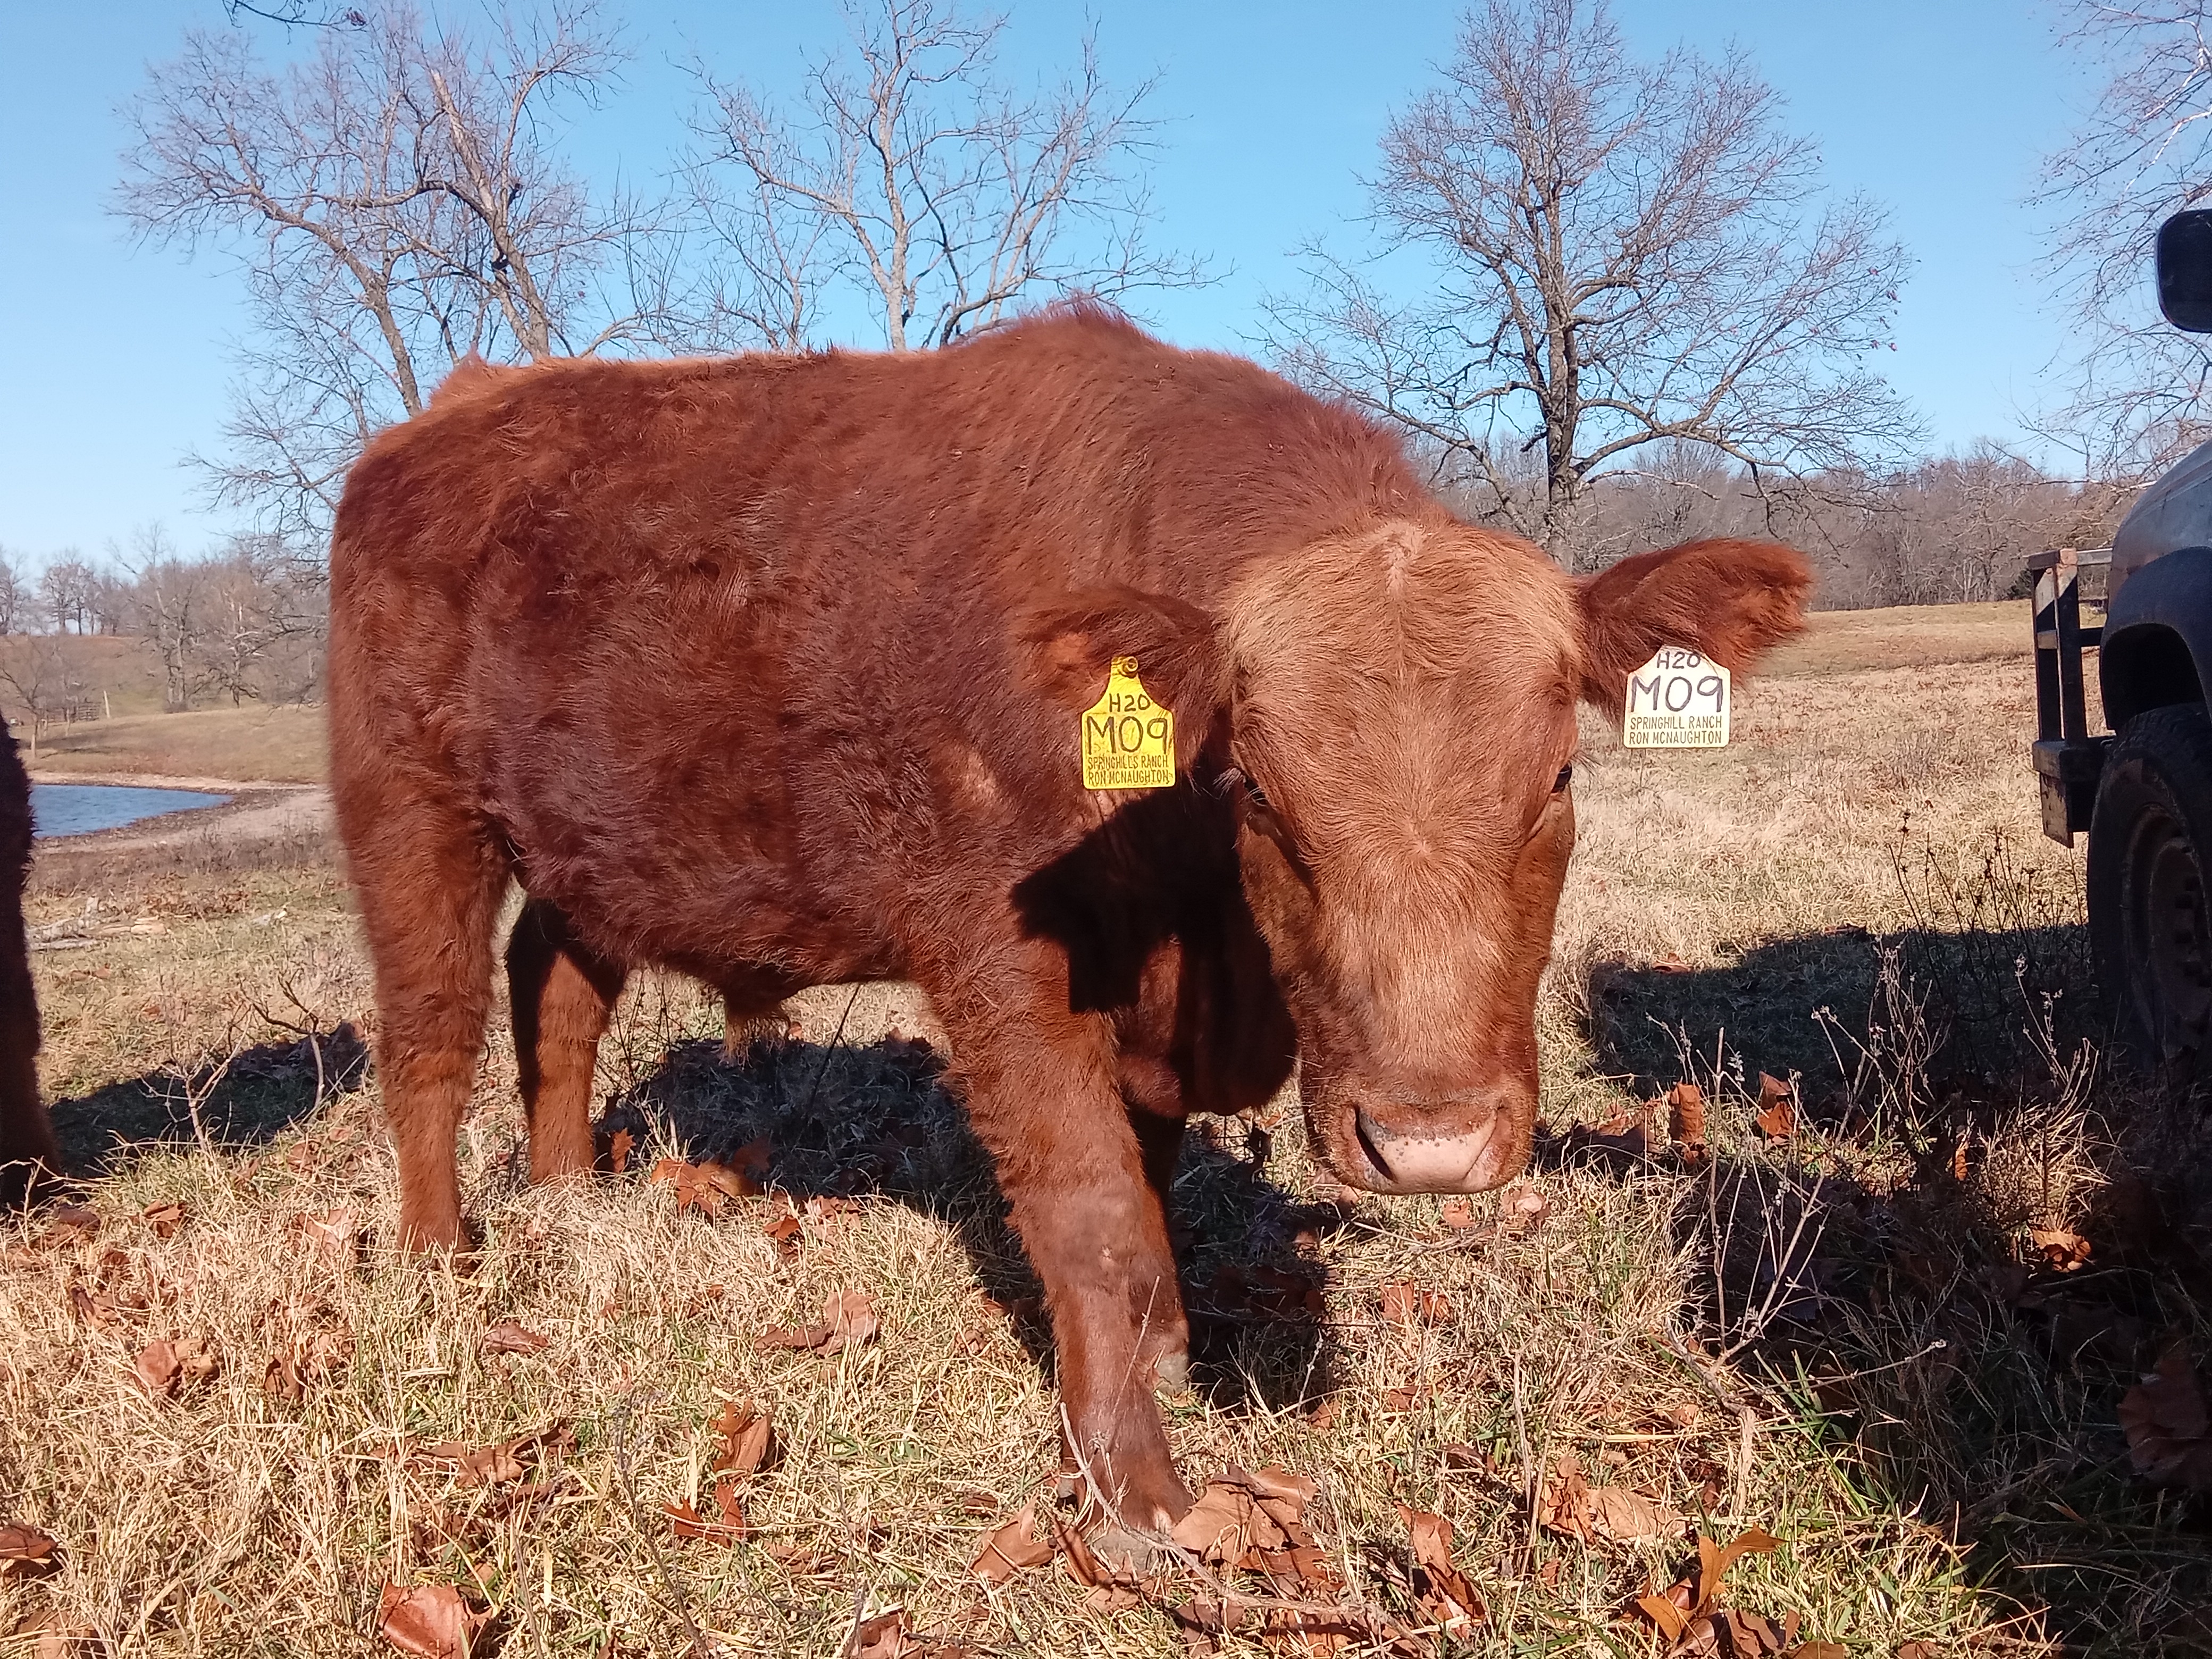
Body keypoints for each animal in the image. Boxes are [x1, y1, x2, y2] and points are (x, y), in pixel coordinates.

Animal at [327, 305, 1808, 1530]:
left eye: (1556, 775)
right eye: (1256, 787)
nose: (1430, 1142)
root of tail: (454, 414)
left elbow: (1147, 1204)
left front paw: (1160, 1357)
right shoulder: (1001, 963)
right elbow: (1093, 1210)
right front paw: (1138, 1490)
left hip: (584, 850)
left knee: (557, 993)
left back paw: (571, 1197)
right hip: (409, 817)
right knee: (431, 1031)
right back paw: (439, 1258)